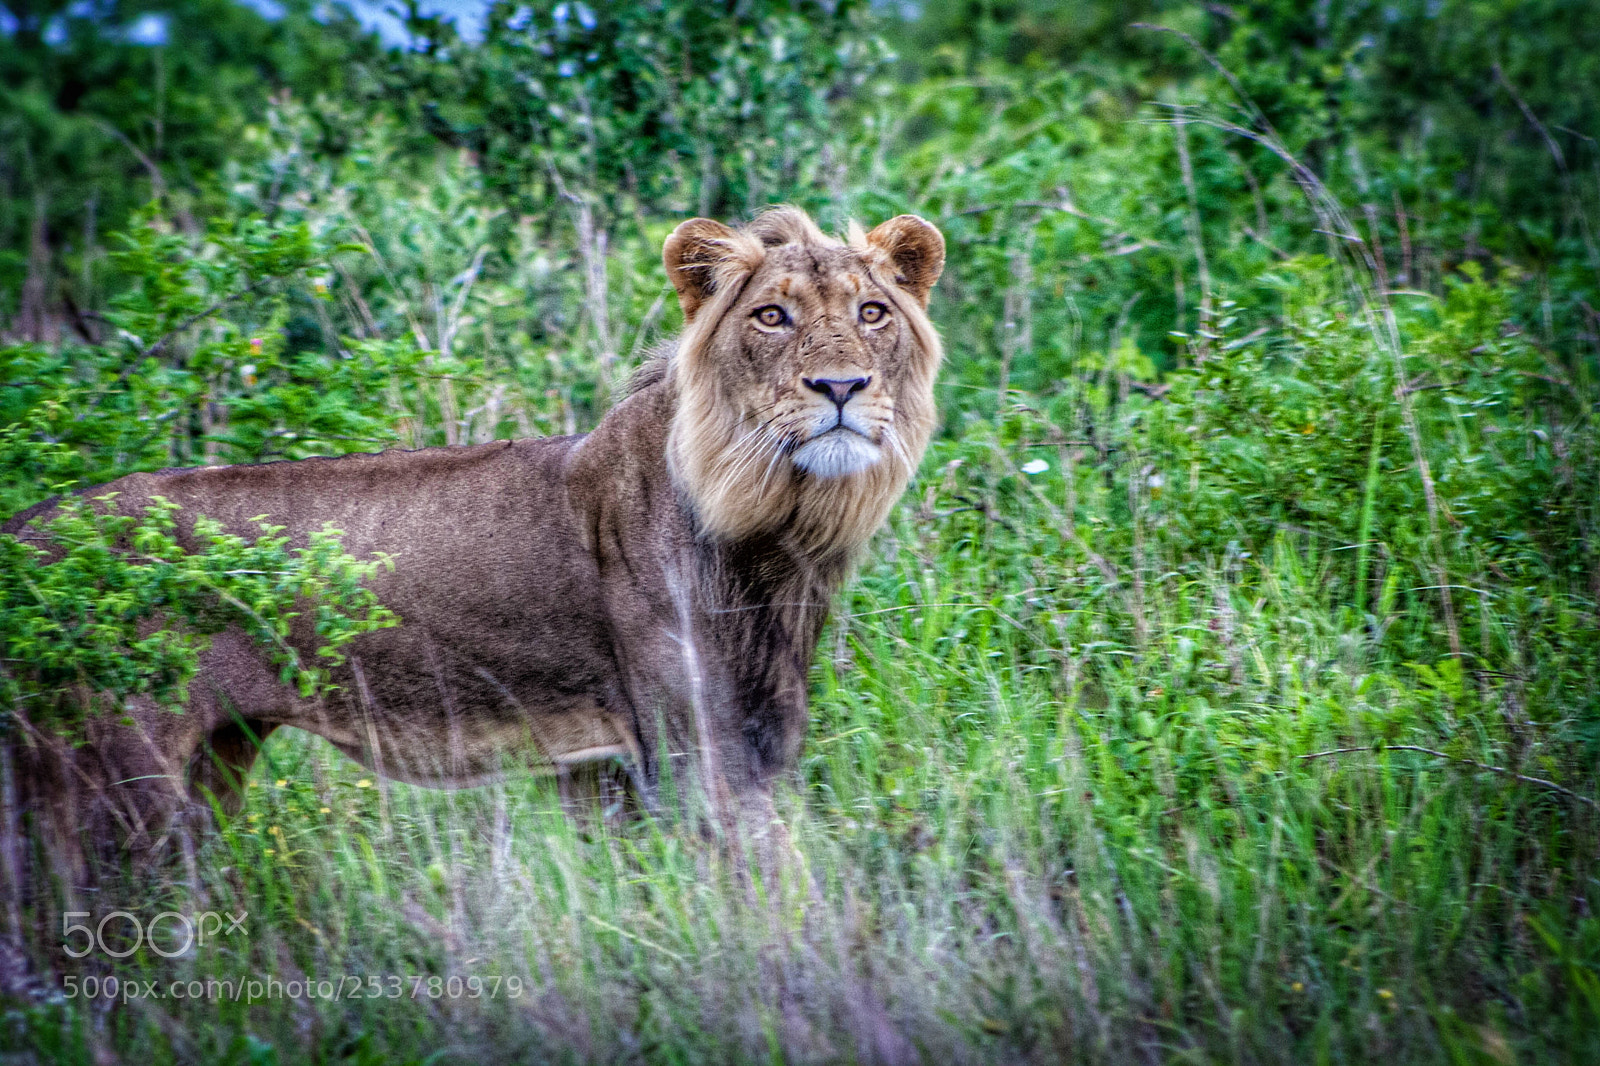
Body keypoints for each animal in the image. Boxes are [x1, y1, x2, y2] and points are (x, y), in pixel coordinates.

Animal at [3, 207, 945, 861]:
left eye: (872, 312)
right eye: (771, 318)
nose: (841, 387)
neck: (775, 528)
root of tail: (28, 529)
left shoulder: (605, 768)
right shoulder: (698, 757)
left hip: (211, 764)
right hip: (116, 783)